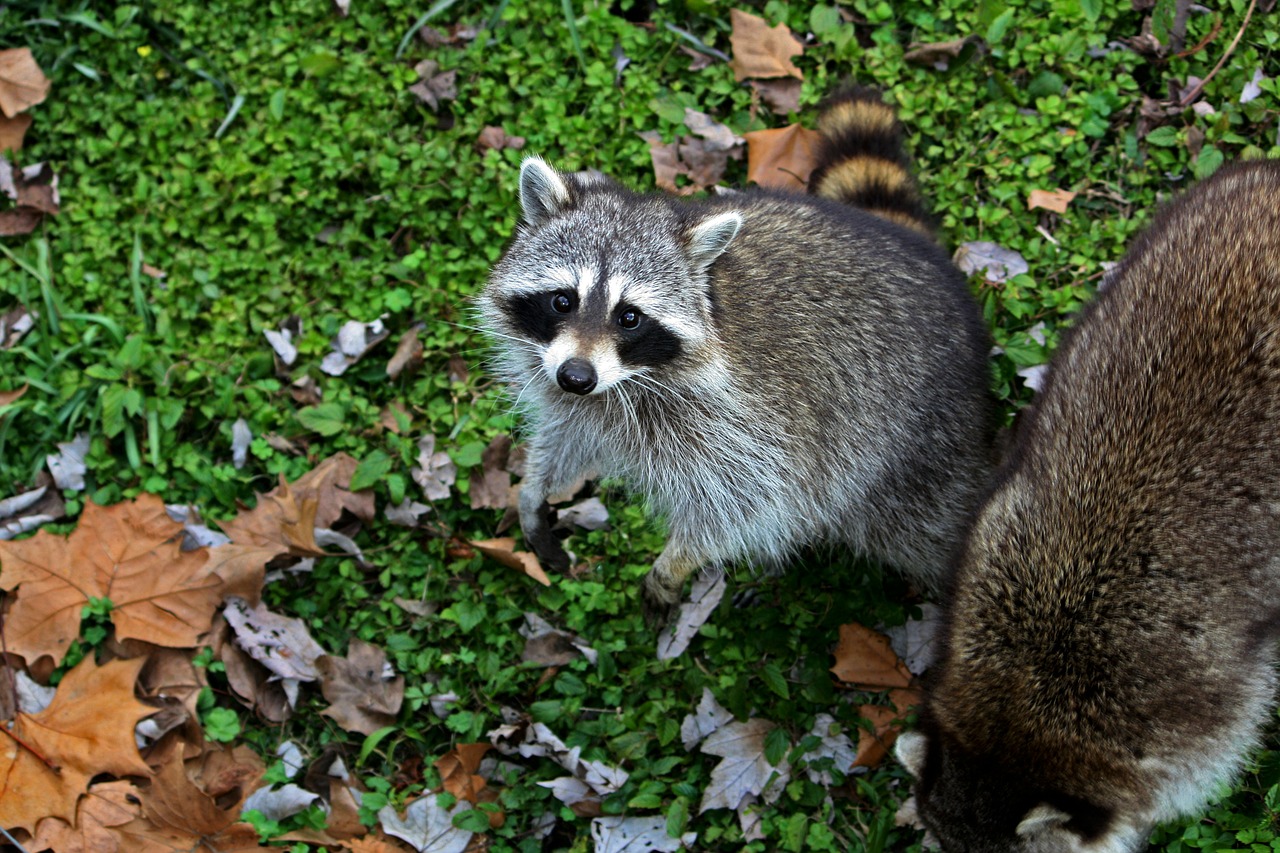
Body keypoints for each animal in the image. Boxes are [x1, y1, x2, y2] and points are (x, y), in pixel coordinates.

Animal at [476, 87, 993, 617]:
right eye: (563, 301)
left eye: (629, 317)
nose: (576, 377)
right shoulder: (576, 393)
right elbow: (565, 434)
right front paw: (533, 490)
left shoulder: (750, 424)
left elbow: (752, 504)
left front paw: (678, 561)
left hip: (918, 455)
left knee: (928, 531)